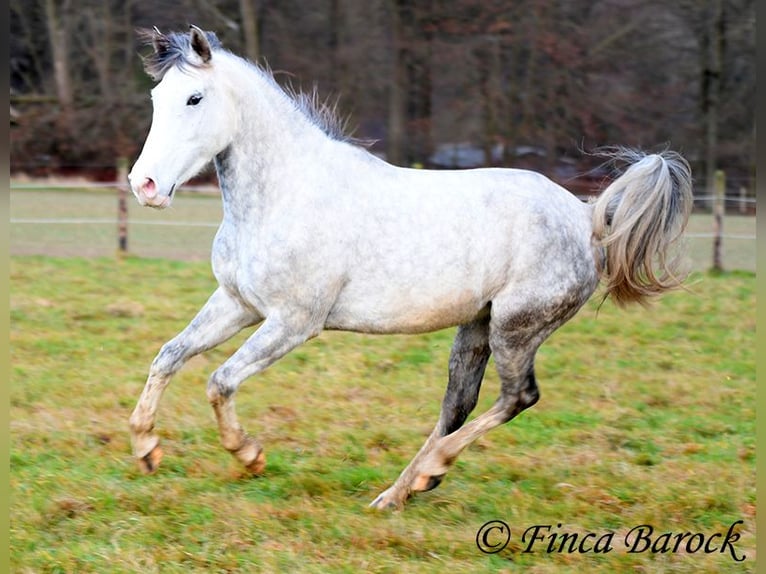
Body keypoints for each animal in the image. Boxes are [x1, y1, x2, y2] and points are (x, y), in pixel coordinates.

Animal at [127, 25, 696, 512]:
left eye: (195, 99)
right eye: (155, 100)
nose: (144, 186)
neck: (284, 194)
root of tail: (585, 215)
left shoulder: (294, 322)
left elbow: (219, 381)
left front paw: (249, 456)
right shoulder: (237, 303)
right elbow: (168, 356)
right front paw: (146, 449)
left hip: (518, 326)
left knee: (518, 397)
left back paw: (429, 472)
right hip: (477, 328)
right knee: (457, 407)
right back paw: (399, 492)